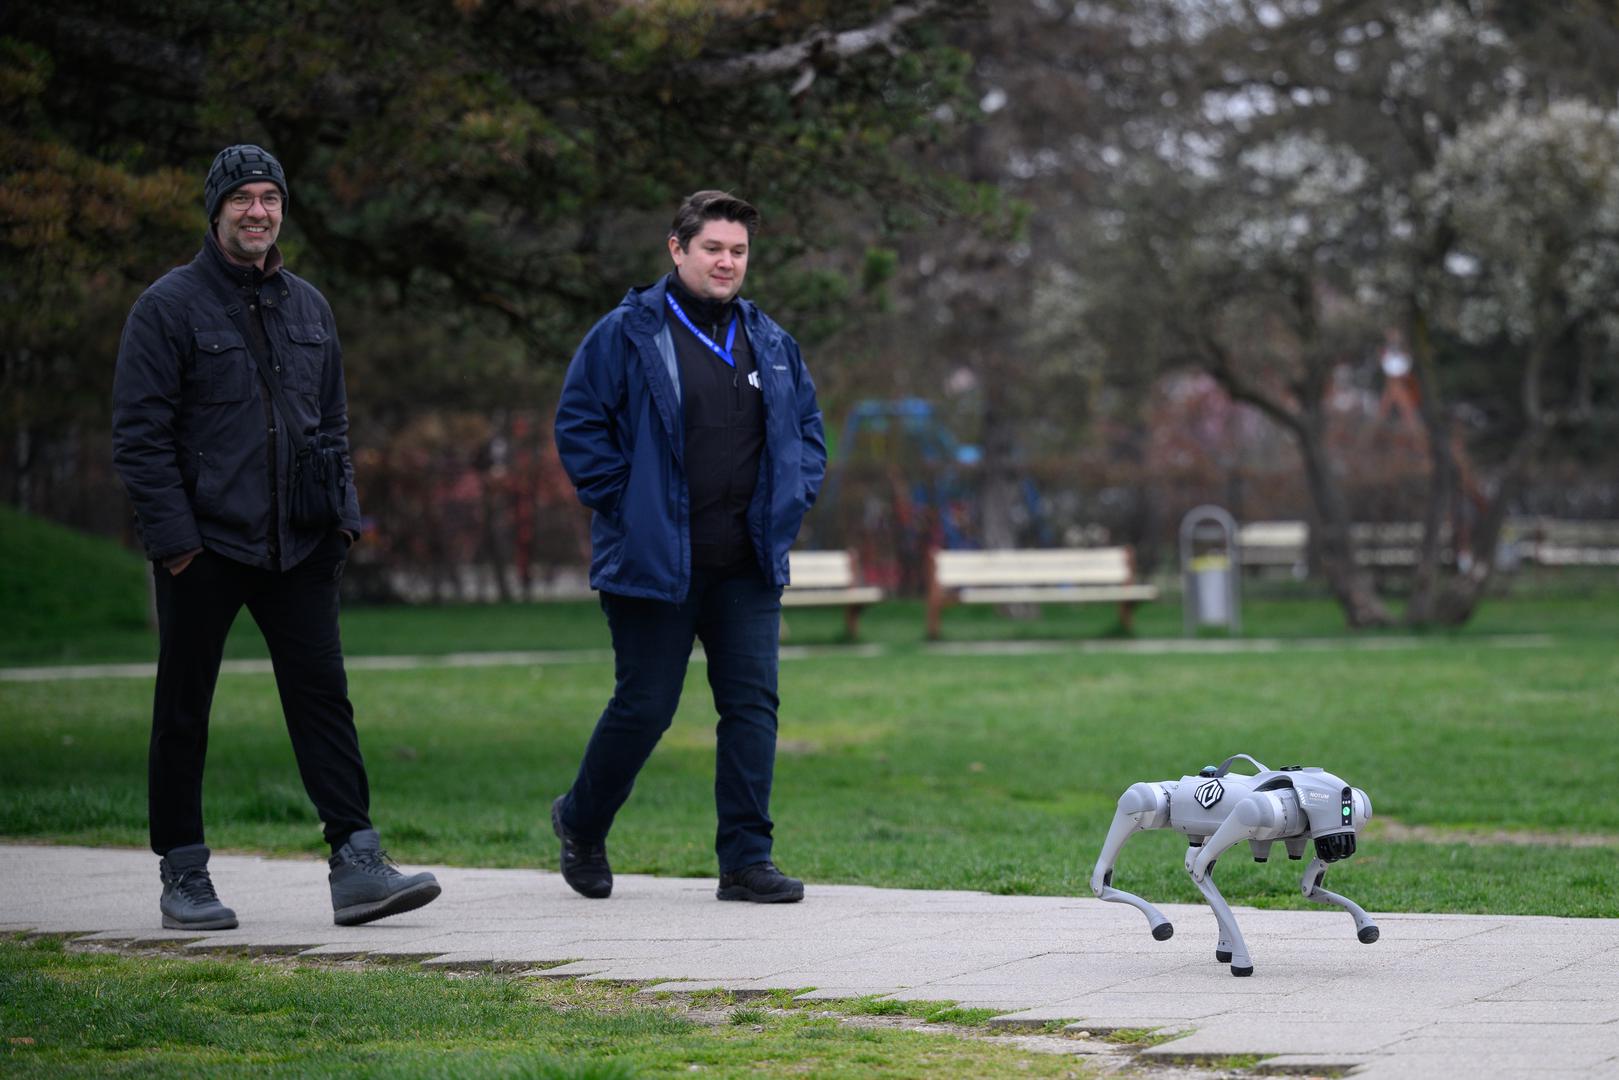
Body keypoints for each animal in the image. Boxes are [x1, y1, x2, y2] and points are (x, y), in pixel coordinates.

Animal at [1094, 757, 1372, 977]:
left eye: (1349, 812)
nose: (1341, 848)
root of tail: (1181, 783)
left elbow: (1309, 887)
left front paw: (1367, 927)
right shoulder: (1257, 811)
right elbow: (1201, 866)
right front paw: (1242, 963)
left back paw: (1223, 948)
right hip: (1156, 805)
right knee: (1138, 798)